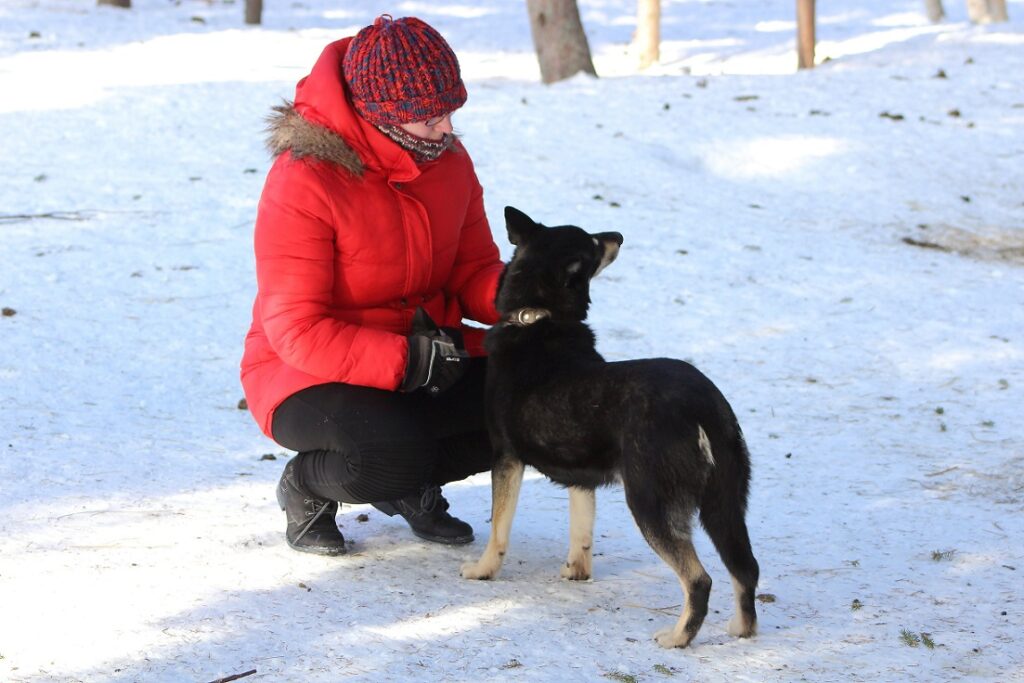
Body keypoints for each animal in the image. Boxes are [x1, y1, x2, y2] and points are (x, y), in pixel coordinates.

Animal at [464, 205, 761, 651]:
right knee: (746, 568)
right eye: (592, 240)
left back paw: (678, 637)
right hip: (724, 504)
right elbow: (581, 527)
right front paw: (576, 571)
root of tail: (703, 404)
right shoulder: (580, 474)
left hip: (651, 501)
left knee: (699, 579)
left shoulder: (506, 458)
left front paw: (482, 571)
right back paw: (742, 629)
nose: (618, 235)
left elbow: (499, 529)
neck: (538, 318)